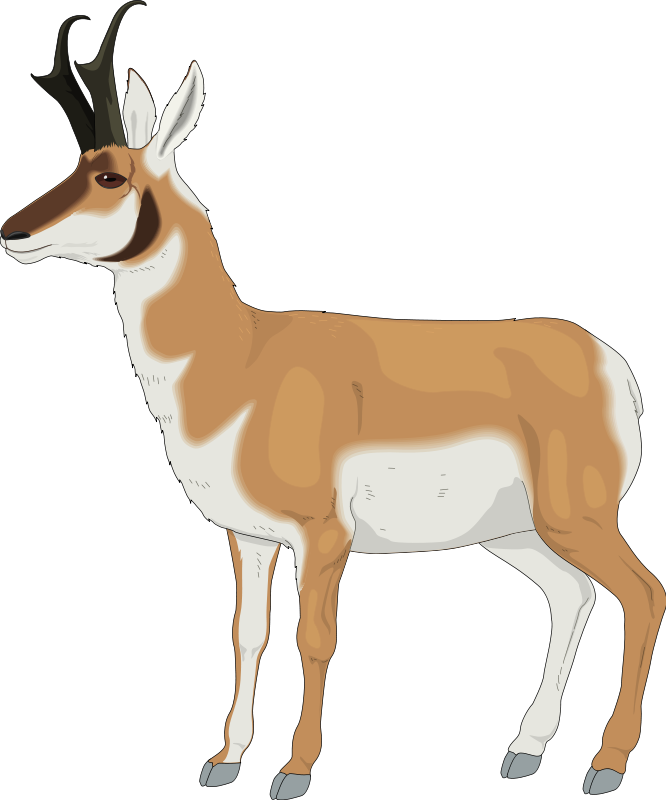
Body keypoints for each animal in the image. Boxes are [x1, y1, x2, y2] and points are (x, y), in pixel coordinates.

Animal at [3, 3, 663, 797]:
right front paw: (224, 761)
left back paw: (607, 765)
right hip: (515, 533)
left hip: (575, 519)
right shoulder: (249, 535)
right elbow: (247, 635)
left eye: (109, 175)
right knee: (573, 595)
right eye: (73, 167)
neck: (241, 357)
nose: (12, 233)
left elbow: (313, 638)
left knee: (643, 595)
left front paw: (294, 770)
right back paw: (524, 751)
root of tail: (606, 361)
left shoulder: (323, 537)